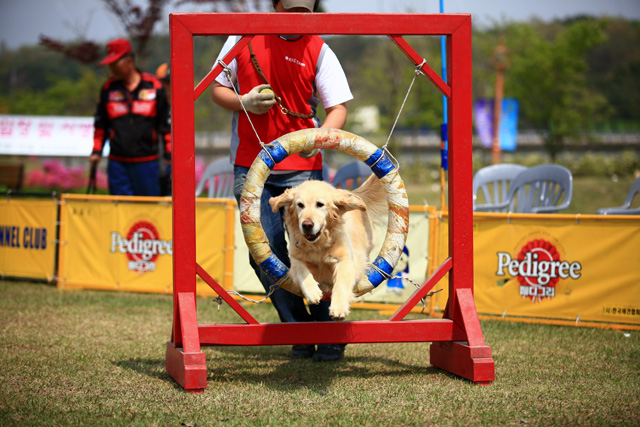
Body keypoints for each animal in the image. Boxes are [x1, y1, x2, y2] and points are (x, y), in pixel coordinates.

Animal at [268, 175, 384, 320]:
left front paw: (339, 308)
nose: (307, 224)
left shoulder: (345, 260)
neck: (318, 245)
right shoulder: (295, 260)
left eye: (320, 204)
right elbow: (302, 271)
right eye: (300, 205)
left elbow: (341, 282)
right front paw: (312, 292)